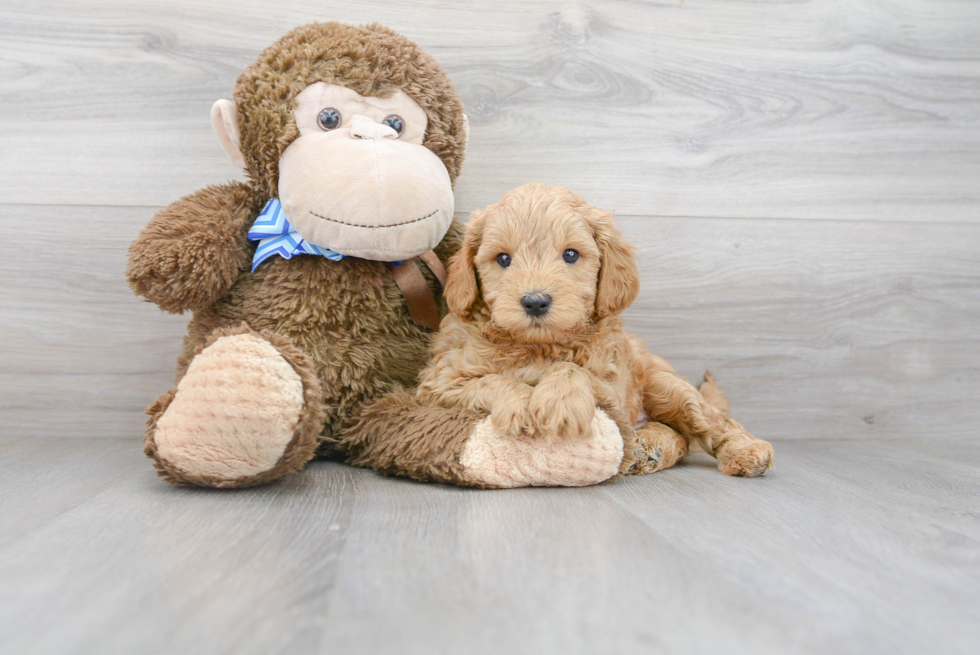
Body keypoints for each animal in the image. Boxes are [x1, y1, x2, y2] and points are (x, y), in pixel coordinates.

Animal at [418, 183, 776, 476]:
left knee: (709, 421)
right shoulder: (439, 383)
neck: (539, 346)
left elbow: (572, 369)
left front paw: (560, 402)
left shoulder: (612, 384)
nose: (535, 302)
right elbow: (490, 380)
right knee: (680, 436)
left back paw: (744, 451)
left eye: (571, 254)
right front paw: (519, 405)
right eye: (503, 259)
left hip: (664, 386)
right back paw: (648, 450)